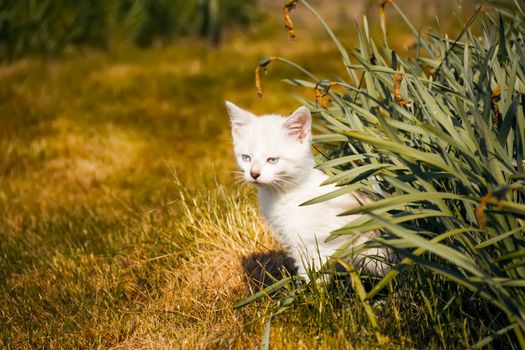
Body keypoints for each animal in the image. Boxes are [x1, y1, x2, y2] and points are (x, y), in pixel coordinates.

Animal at [225, 101, 388, 282]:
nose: (254, 174)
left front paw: (310, 289)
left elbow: (314, 277)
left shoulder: (316, 246)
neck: (285, 193)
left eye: (272, 160)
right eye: (246, 158)